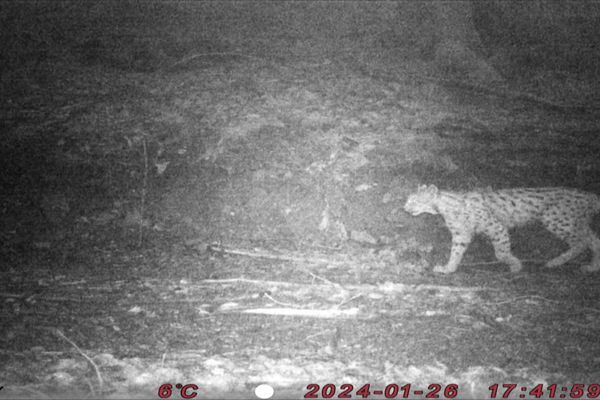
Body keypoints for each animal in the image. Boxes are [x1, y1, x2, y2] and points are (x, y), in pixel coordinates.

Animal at [400, 185, 600, 274]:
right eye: (408, 200)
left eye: (414, 201)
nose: (404, 208)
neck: (443, 207)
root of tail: (589, 194)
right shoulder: (461, 234)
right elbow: (456, 251)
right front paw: (449, 268)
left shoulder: (496, 227)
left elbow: (501, 253)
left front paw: (515, 265)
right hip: (573, 223)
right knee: (594, 240)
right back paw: (592, 266)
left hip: (556, 220)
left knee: (582, 242)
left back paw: (556, 262)